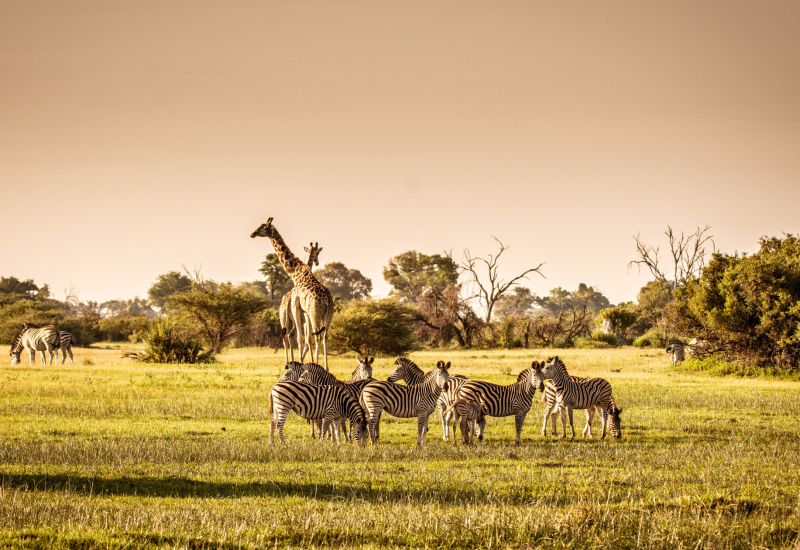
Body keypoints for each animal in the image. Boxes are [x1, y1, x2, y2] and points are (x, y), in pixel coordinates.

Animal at [252, 219, 336, 370]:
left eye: (265, 227)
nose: (252, 234)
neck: (296, 274)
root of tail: (327, 298)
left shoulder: (297, 308)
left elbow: (302, 339)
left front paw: (303, 364)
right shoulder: (305, 311)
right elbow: (306, 338)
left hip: (312, 314)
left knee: (312, 336)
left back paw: (309, 364)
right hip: (328, 314)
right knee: (323, 336)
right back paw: (324, 367)